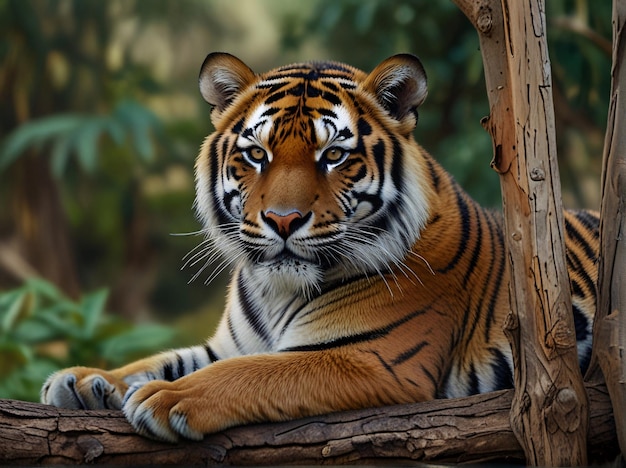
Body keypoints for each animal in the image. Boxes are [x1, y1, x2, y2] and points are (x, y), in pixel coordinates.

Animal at [41, 54, 596, 442]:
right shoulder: (230, 343)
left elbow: (250, 374)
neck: (276, 290)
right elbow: (164, 359)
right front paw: (83, 380)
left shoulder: (367, 357)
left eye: (333, 156)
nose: (283, 220)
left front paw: (163, 398)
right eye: (256, 154)